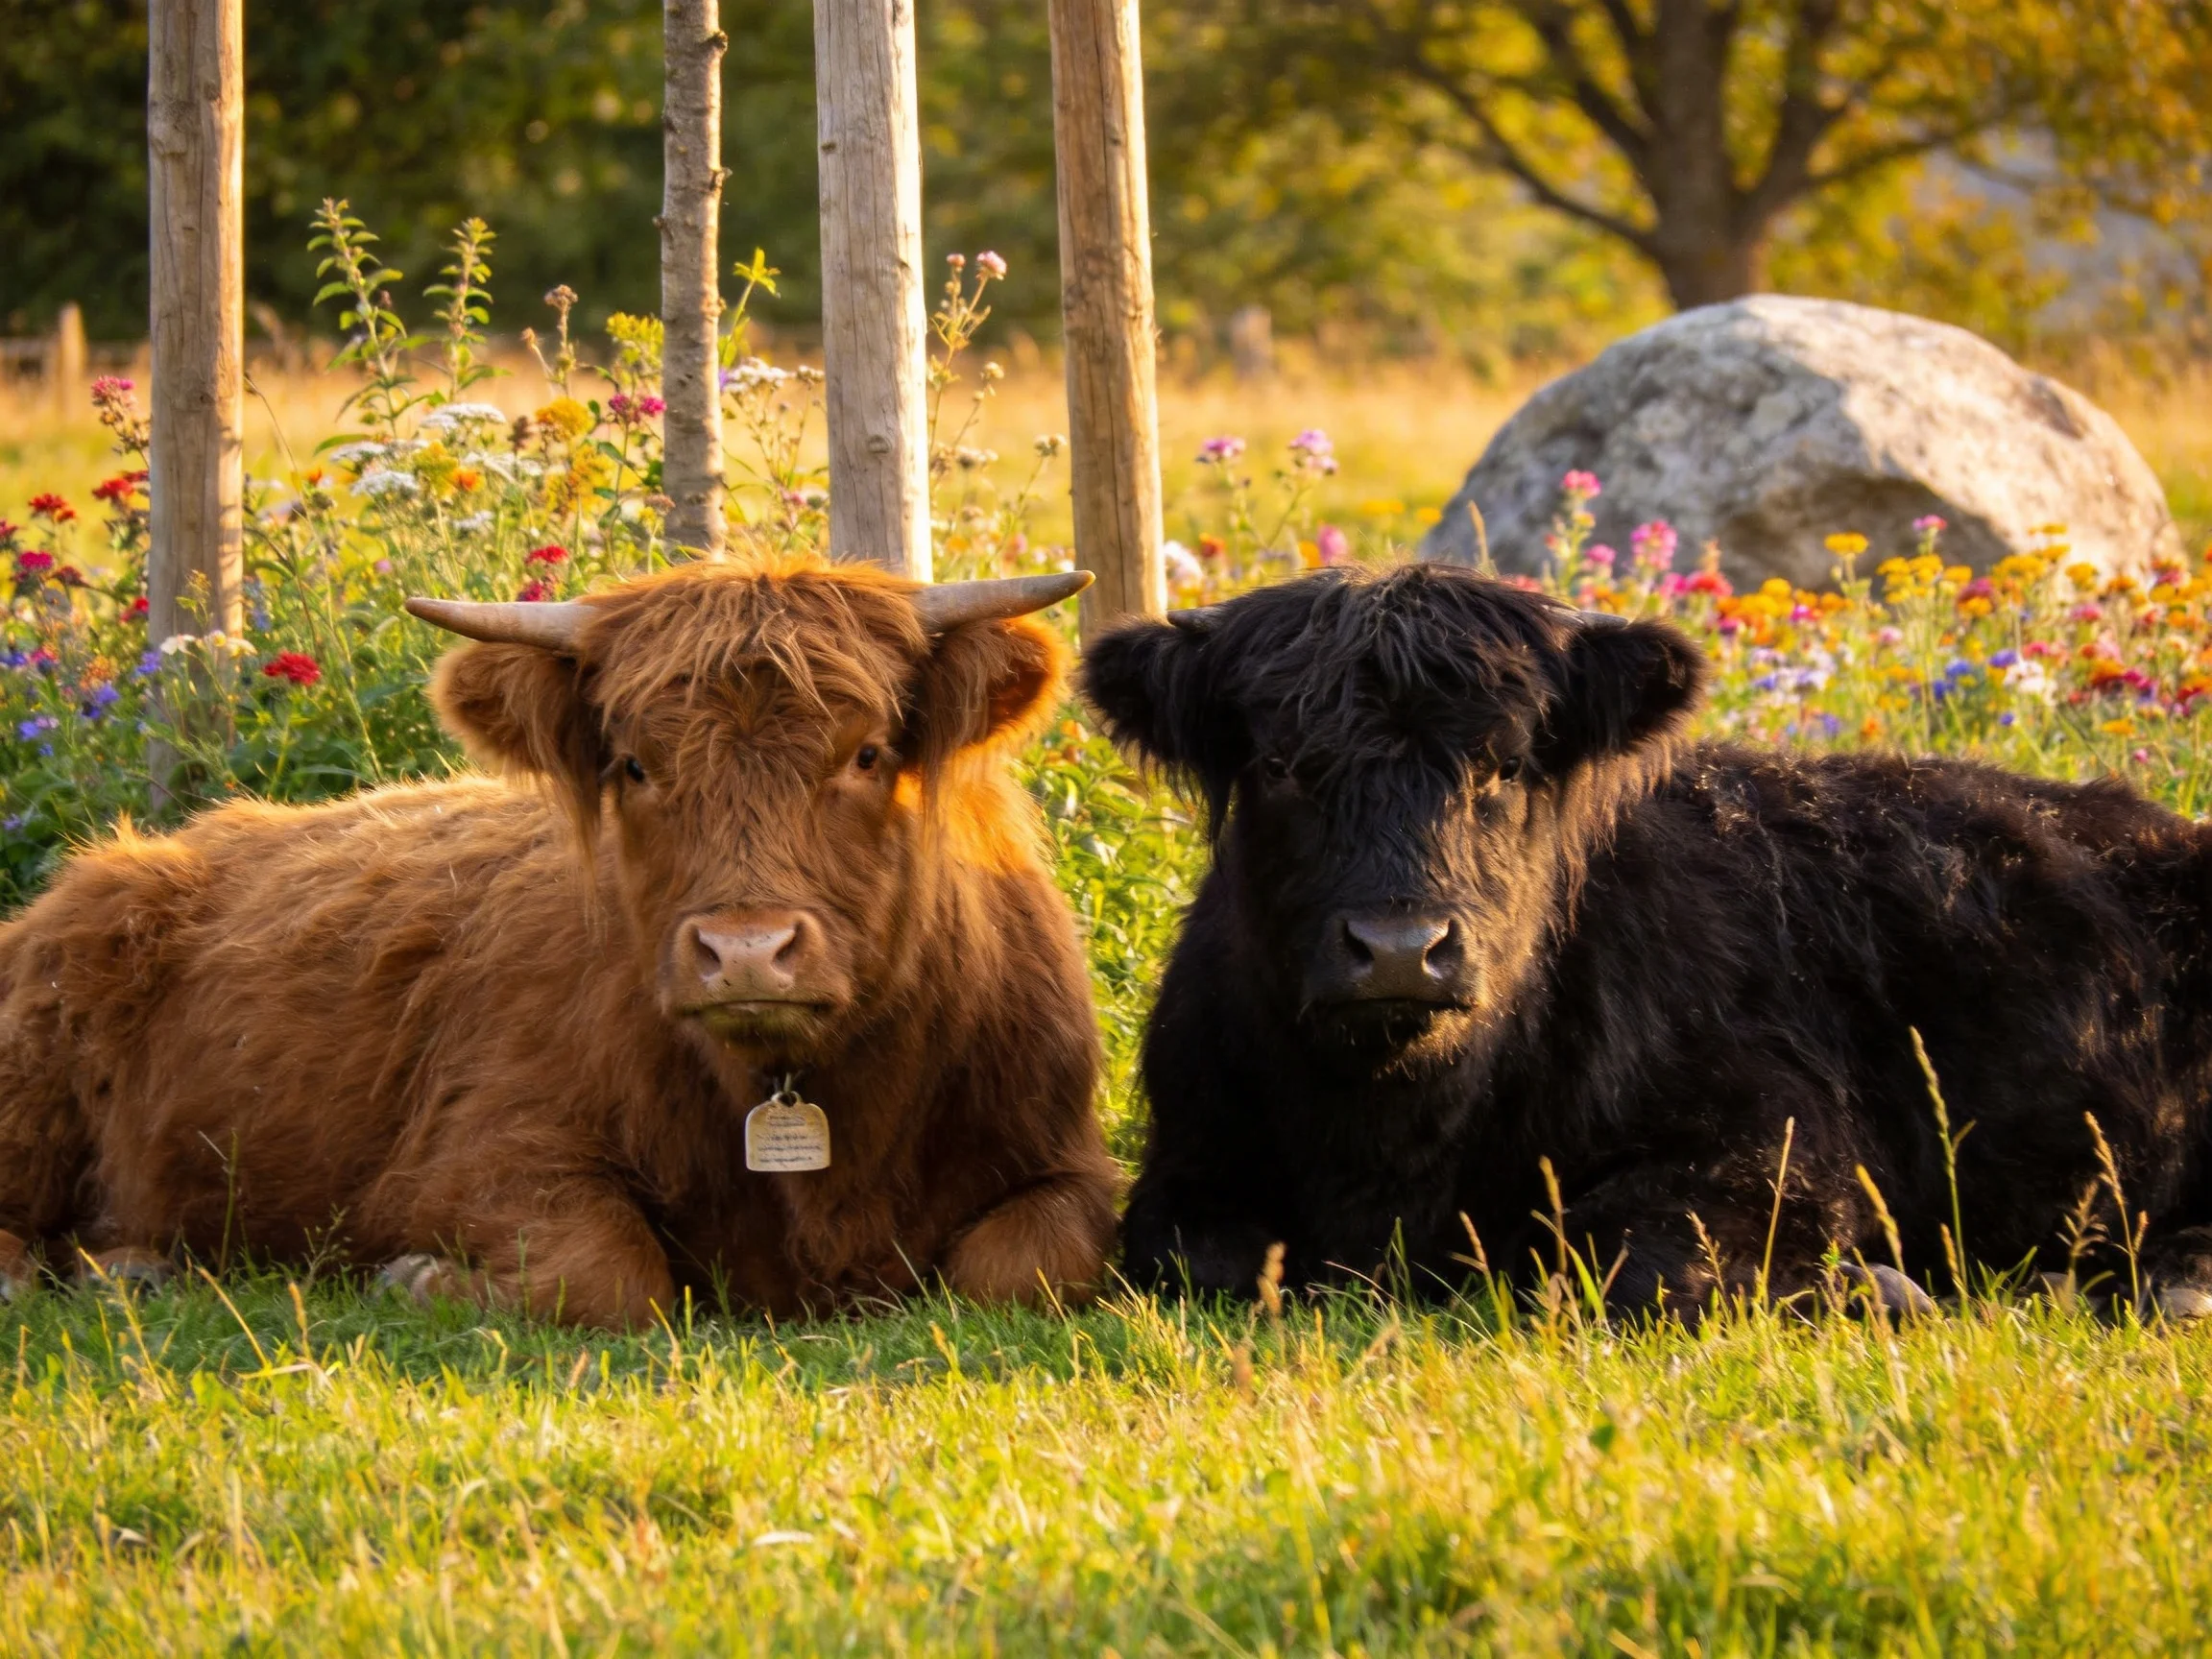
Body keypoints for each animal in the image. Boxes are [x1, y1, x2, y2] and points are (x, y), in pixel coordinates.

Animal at [0, 556, 1121, 1326]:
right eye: (633, 764)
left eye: (868, 752)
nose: (745, 951)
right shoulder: (473, 1152)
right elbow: (613, 1274)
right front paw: (417, 1277)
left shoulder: (1062, 1158)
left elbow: (1028, 1264)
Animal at [1082, 563, 2212, 1317]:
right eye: (1280, 765)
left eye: (1505, 765)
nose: (1401, 947)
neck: (1392, 1142)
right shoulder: (1193, 1163)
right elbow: (1190, 1253)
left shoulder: (1773, 1143)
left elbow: (1623, 1261)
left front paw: (1883, 1290)